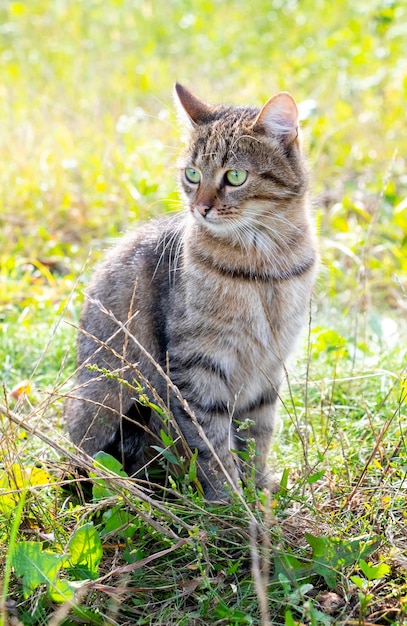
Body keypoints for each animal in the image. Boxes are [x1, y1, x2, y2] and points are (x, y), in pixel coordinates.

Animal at [65, 83, 318, 500]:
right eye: (193, 174)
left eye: (235, 176)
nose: (200, 208)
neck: (264, 265)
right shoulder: (197, 367)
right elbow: (212, 446)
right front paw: (230, 501)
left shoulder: (268, 367)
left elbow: (257, 437)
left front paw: (257, 491)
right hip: (101, 401)